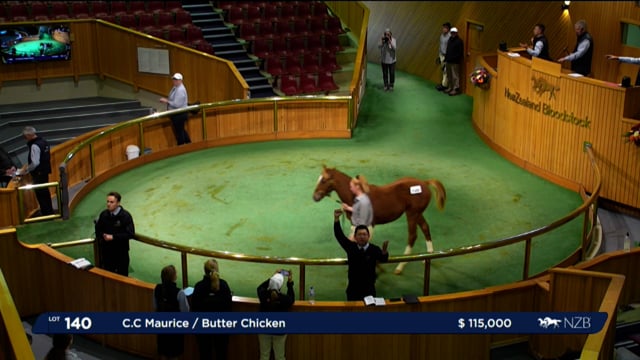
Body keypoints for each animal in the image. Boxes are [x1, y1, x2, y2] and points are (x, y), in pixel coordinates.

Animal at [314, 165, 444, 272]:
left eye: (324, 180)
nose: (315, 197)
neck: (355, 196)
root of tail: (424, 182)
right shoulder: (355, 224)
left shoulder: (369, 224)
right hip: (417, 214)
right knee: (425, 228)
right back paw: (427, 258)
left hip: (412, 214)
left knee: (413, 236)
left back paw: (400, 266)